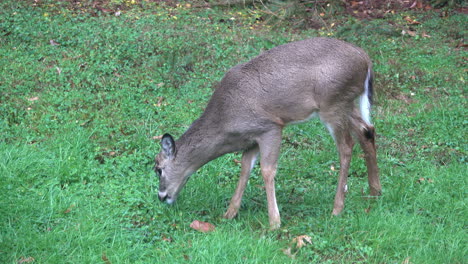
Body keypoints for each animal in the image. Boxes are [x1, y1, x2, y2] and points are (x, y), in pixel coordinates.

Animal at [155, 37, 382, 229]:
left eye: (158, 169)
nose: (161, 196)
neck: (225, 121)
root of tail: (366, 60)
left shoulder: (270, 127)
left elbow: (267, 170)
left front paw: (274, 222)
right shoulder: (252, 139)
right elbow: (245, 169)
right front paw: (229, 214)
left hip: (332, 104)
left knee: (346, 147)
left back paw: (337, 208)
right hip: (346, 104)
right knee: (367, 130)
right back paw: (374, 193)